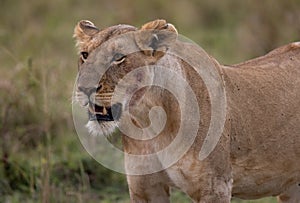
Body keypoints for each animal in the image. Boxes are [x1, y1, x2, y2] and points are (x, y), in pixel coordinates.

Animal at [73, 18, 300, 201]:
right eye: (84, 55)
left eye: (119, 57)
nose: (84, 88)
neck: (148, 122)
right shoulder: (145, 188)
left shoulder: (215, 187)